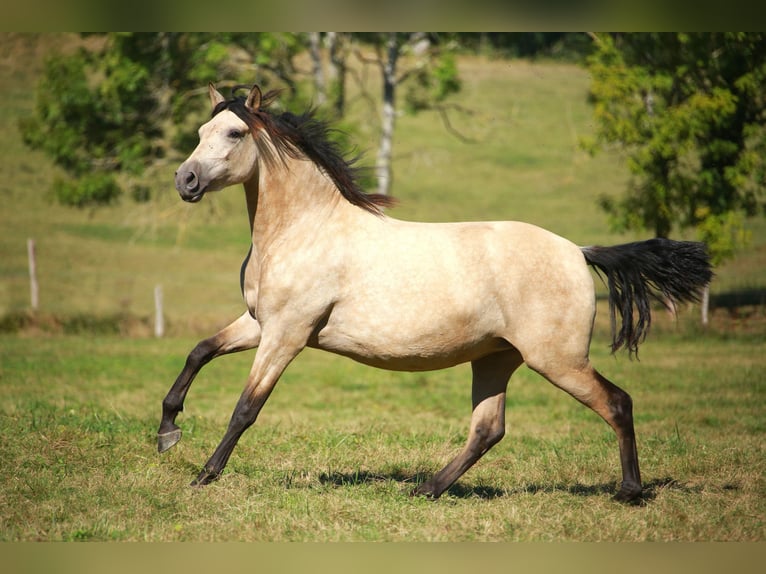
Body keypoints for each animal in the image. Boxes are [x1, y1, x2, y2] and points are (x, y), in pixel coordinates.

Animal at [158, 82, 712, 504]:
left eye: (234, 133)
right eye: (201, 132)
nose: (185, 180)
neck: (305, 230)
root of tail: (578, 251)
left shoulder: (287, 335)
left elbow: (246, 408)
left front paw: (204, 474)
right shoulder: (259, 323)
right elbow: (199, 352)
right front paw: (167, 433)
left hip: (558, 359)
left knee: (617, 403)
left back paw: (630, 492)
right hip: (496, 358)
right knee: (488, 429)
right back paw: (425, 489)